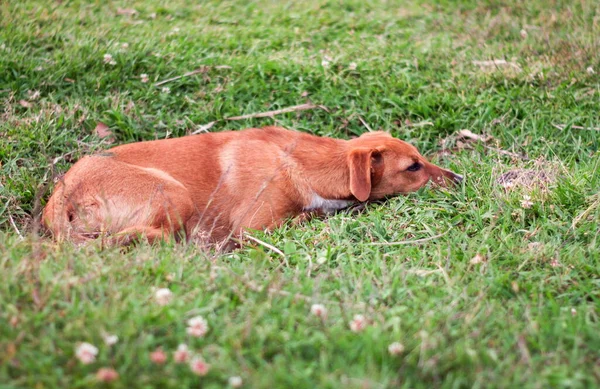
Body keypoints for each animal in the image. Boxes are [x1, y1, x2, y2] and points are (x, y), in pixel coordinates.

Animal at [43, 126, 464, 247]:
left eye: (421, 158)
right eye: (413, 167)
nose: (460, 180)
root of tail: (62, 197)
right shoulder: (254, 227)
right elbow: (307, 216)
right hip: (172, 191)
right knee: (152, 236)